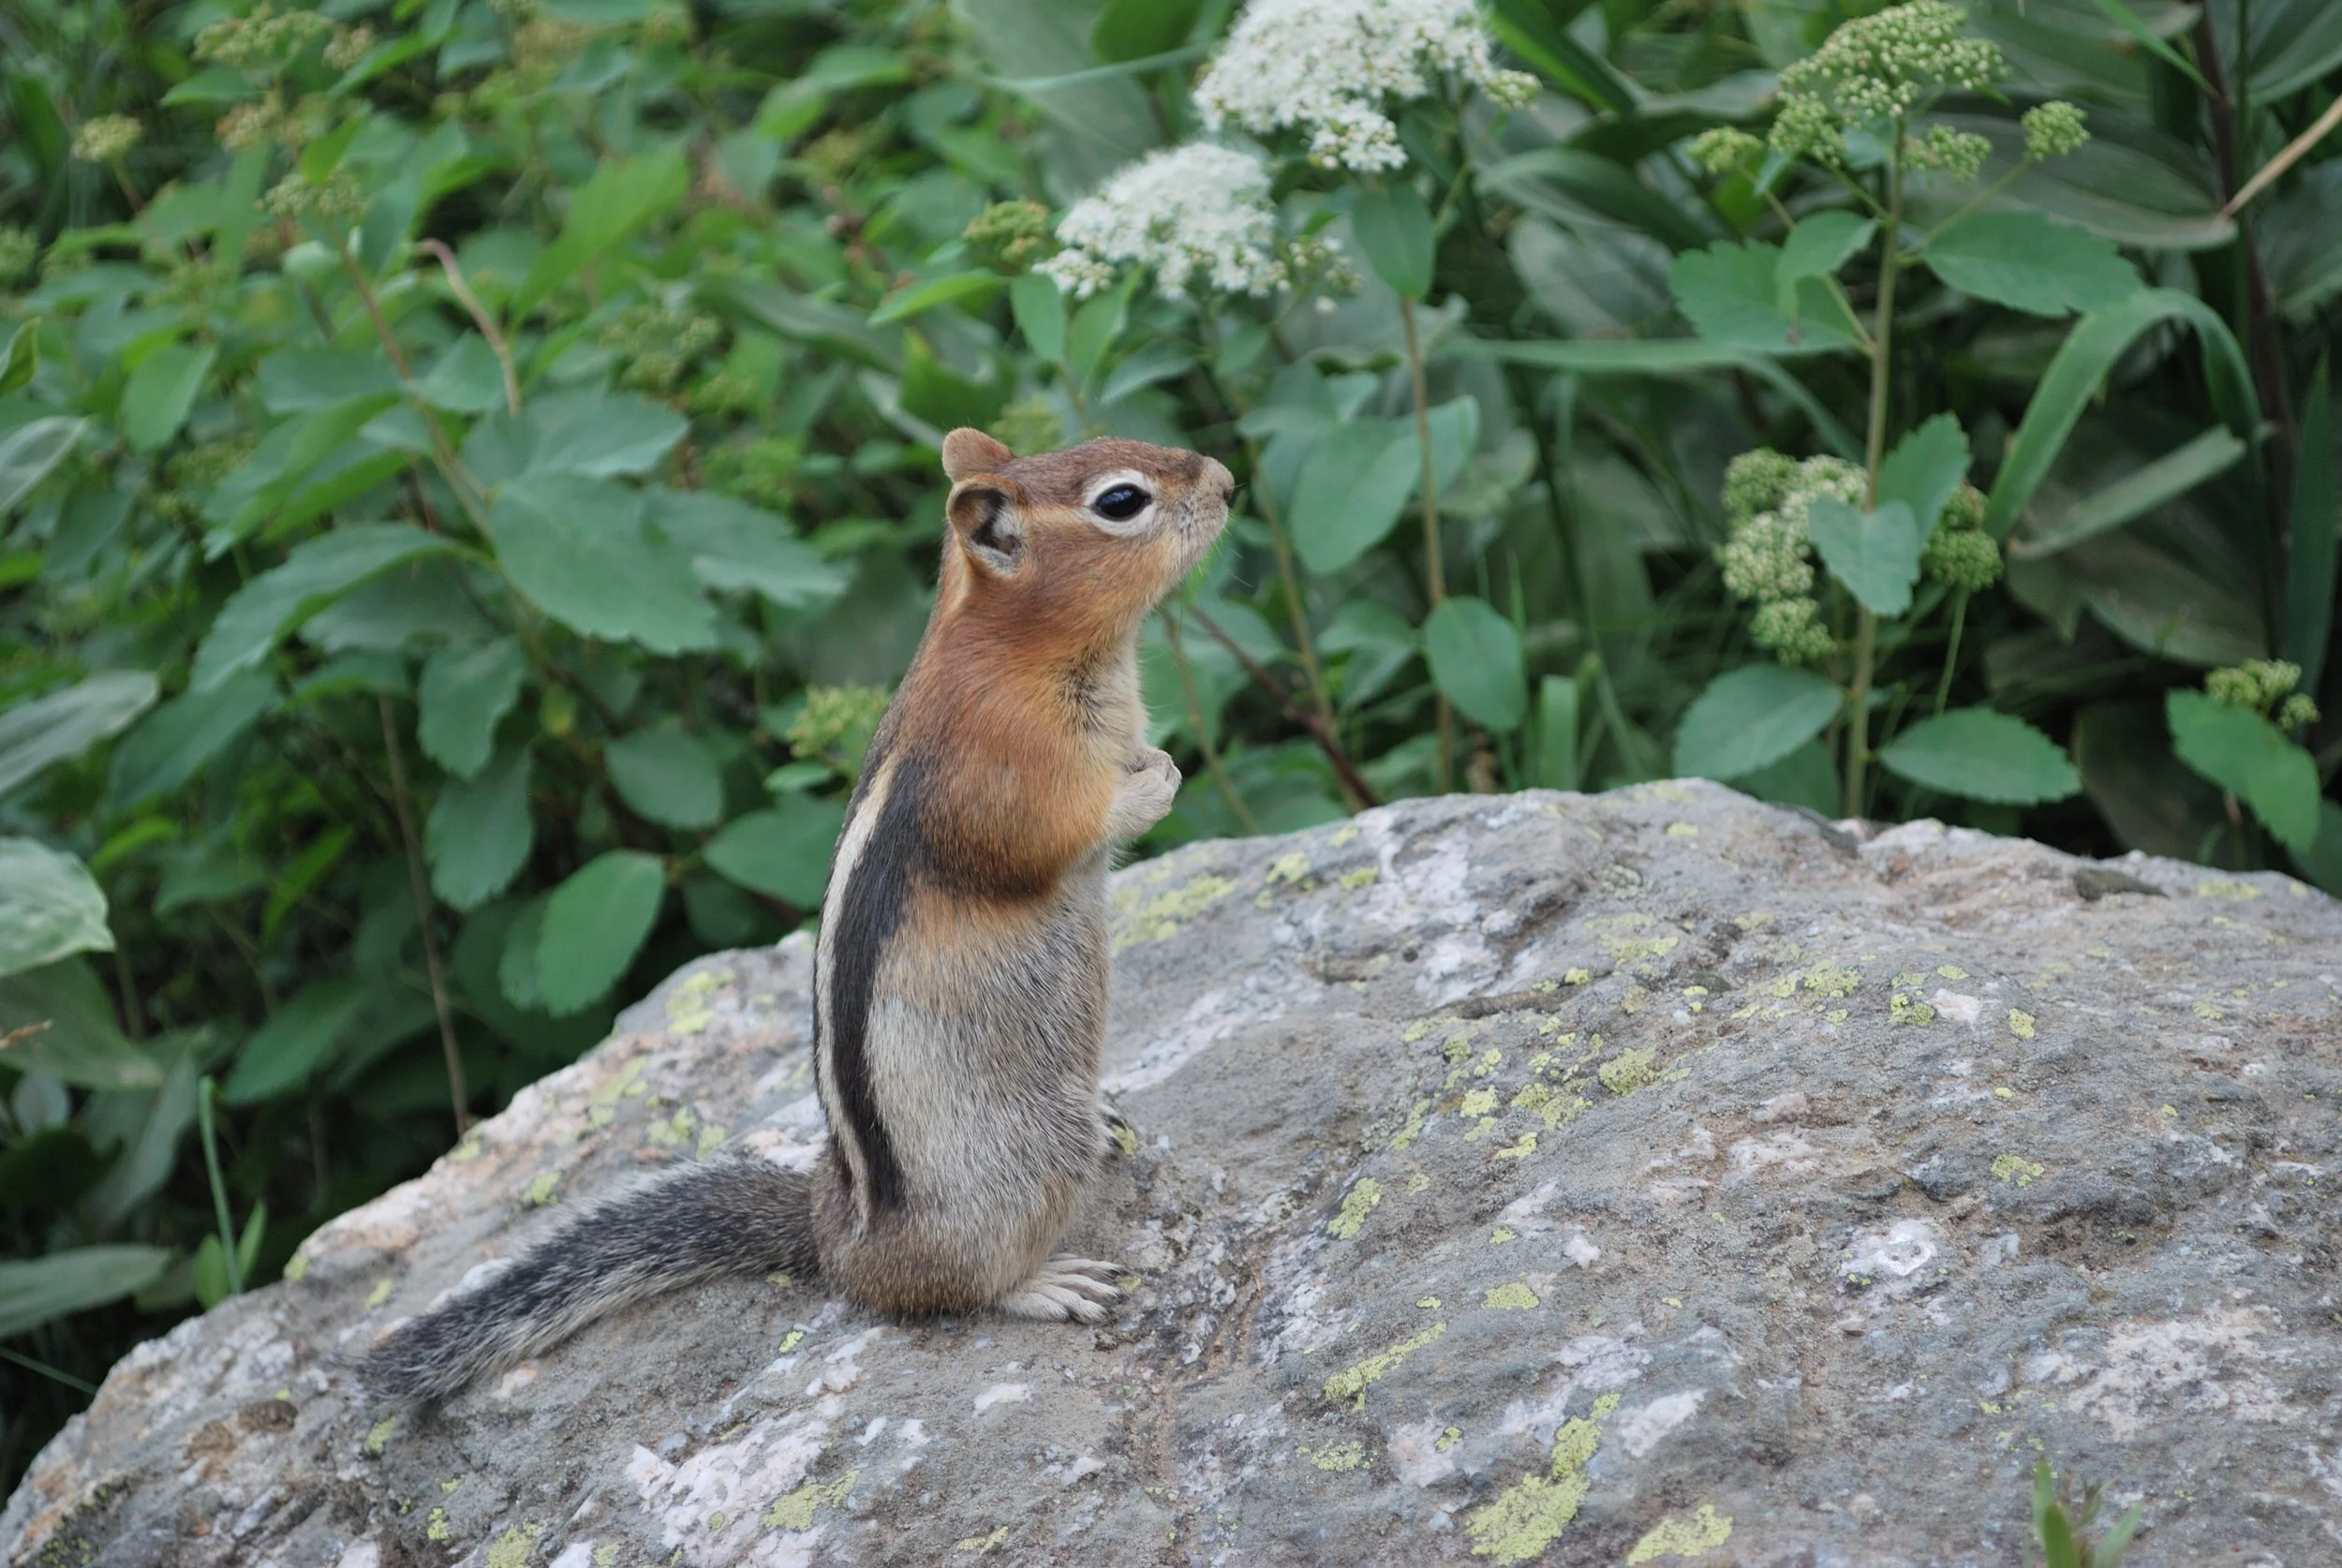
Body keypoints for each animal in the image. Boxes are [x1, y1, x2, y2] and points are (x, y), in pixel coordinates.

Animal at [360, 428, 1234, 1401]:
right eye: (1121, 502)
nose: (1228, 482)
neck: (1018, 650)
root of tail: (838, 1239)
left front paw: (1160, 761)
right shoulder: (997, 772)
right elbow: (1048, 838)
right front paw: (1155, 786)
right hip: (1024, 1167)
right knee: (946, 1290)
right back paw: (1047, 1284)